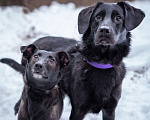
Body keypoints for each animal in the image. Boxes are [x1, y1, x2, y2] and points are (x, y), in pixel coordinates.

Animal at [0, 1, 145, 120]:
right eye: (97, 17)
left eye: (118, 18)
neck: (101, 64)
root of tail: (36, 41)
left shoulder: (110, 109)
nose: (104, 30)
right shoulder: (78, 110)